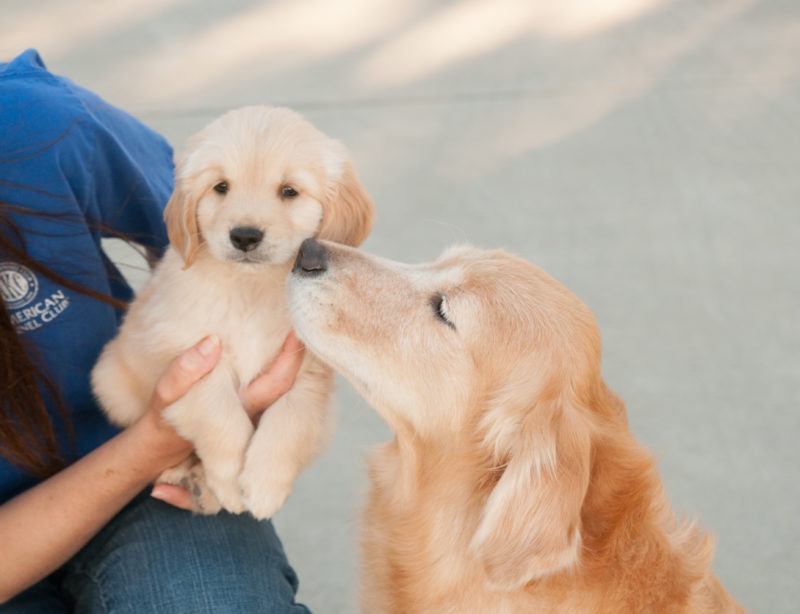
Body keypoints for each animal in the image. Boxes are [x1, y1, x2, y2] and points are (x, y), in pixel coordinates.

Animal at [91, 107, 376, 520]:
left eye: (289, 191)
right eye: (220, 187)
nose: (244, 236)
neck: (250, 290)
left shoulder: (308, 371)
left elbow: (291, 419)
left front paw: (264, 486)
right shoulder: (183, 357)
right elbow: (219, 413)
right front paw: (228, 483)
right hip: (112, 382)